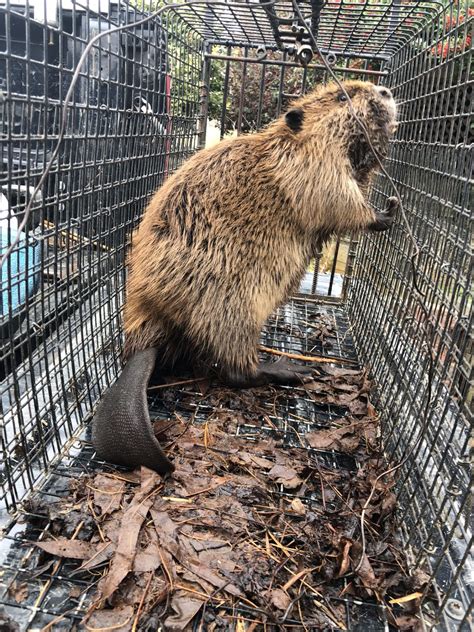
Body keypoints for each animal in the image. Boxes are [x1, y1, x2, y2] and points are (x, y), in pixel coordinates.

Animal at [90, 80, 398, 474]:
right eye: (343, 96)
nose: (385, 92)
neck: (286, 147)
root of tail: (145, 342)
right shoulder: (310, 167)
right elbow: (336, 200)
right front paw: (387, 210)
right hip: (231, 303)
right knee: (235, 369)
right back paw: (291, 370)